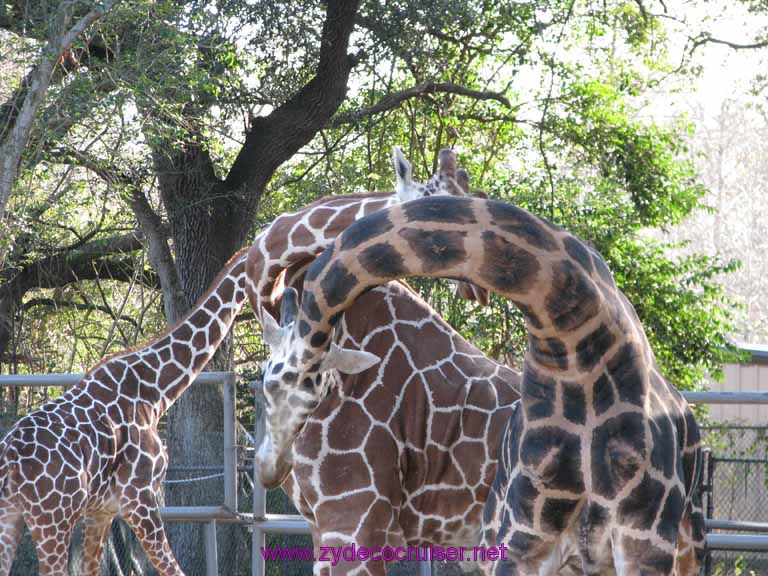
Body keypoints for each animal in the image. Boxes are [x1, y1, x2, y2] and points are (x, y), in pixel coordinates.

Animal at [255, 196, 704, 572]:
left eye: (315, 392)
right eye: (265, 383)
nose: (268, 468)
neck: (578, 360)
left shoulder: (355, 521)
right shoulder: (520, 539)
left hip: (681, 544)